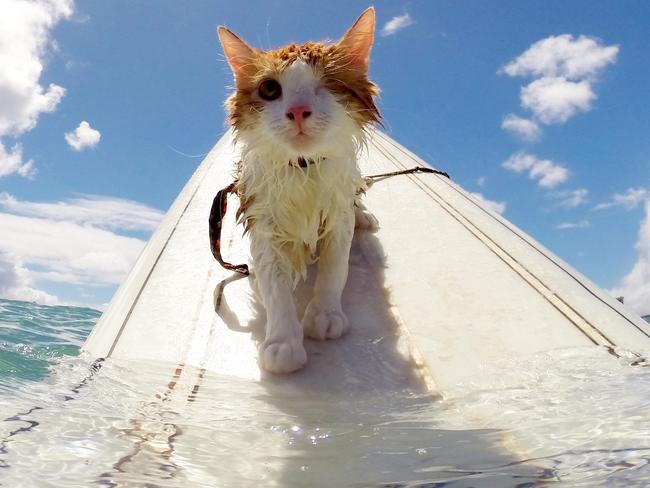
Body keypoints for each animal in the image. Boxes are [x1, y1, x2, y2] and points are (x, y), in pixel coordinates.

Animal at [218, 7, 380, 374]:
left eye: (329, 83)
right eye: (269, 89)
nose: (297, 111)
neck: (303, 169)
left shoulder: (337, 212)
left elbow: (336, 267)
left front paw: (325, 314)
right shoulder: (263, 217)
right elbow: (275, 285)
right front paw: (282, 341)